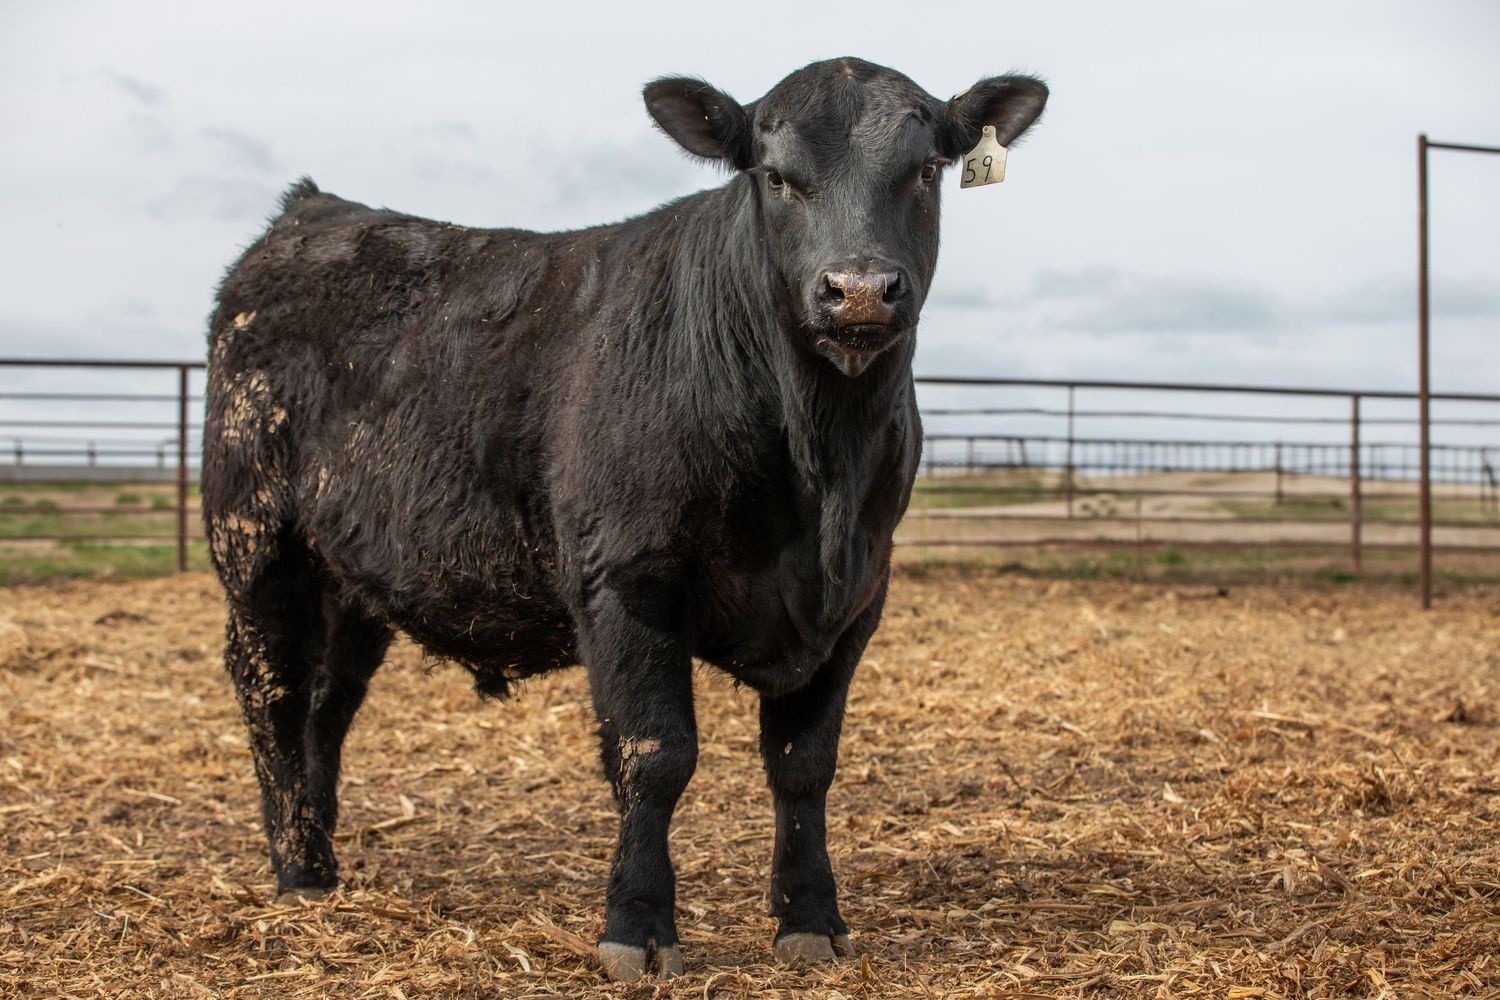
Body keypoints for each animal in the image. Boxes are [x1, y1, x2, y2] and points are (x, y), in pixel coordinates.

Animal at [202, 56, 1046, 981]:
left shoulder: (857, 595)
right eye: (774, 176)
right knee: (274, 690)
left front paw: (812, 919)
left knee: (329, 700)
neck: (816, 469)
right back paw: (296, 872)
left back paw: (321, 855)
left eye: (925, 170)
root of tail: (313, 211)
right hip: (256, 542)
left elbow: (805, 765)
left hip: (354, 575)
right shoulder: (626, 581)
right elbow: (655, 756)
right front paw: (636, 926)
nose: (859, 289)